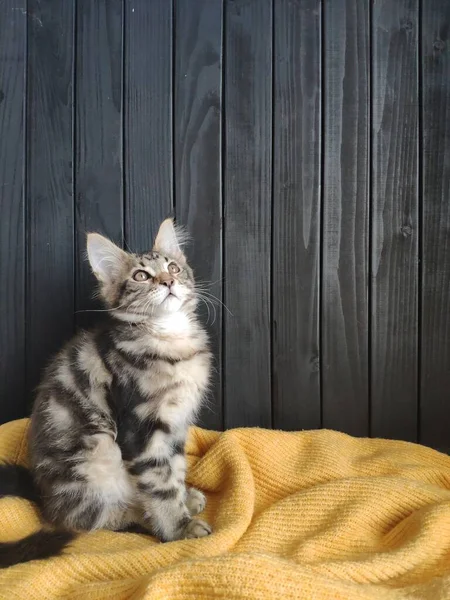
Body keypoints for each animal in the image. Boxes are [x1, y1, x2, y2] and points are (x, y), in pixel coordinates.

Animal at [0, 218, 213, 564]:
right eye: (141, 276)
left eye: (173, 267)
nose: (168, 281)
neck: (168, 339)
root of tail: (43, 496)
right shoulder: (140, 428)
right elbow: (160, 483)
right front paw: (178, 527)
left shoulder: (176, 425)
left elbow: (176, 470)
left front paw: (183, 499)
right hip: (98, 453)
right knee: (85, 519)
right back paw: (138, 514)